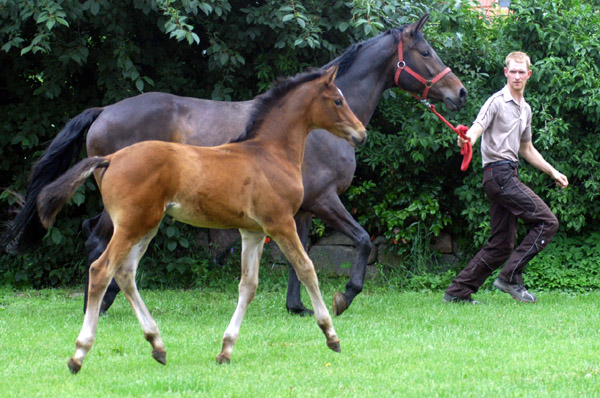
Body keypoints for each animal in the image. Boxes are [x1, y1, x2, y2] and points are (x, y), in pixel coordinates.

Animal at [2, 14, 466, 316]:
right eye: (426, 51)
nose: (459, 92)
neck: (309, 126)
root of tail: (104, 111)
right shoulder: (325, 200)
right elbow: (363, 240)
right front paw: (344, 297)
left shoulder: (300, 207)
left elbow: (298, 254)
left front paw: (297, 306)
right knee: (98, 240)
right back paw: (98, 304)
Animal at [37, 65, 368, 374]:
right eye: (338, 100)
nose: (361, 133)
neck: (268, 153)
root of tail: (111, 159)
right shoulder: (280, 223)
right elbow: (306, 269)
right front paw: (331, 334)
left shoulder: (252, 232)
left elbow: (248, 285)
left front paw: (226, 350)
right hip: (132, 225)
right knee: (101, 269)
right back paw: (79, 354)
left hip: (146, 227)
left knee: (126, 273)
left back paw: (157, 345)